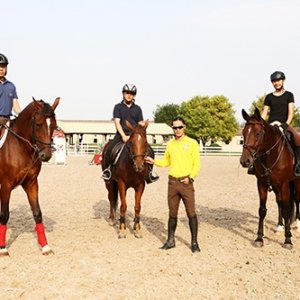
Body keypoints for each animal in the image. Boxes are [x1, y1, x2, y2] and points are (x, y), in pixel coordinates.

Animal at [0, 97, 59, 256]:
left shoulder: (31, 183)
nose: (46, 155)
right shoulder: (6, 186)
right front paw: (2, 248)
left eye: (54, 125)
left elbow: (37, 213)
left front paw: (45, 247)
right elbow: (4, 215)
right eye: (38, 124)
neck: (20, 146)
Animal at [239, 107, 300, 248]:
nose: (245, 161)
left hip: (296, 182)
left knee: (297, 199)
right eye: (243, 133)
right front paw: (259, 238)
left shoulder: (284, 184)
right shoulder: (262, 184)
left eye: (257, 133)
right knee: (280, 202)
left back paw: (297, 226)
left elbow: (287, 210)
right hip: (276, 186)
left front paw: (288, 240)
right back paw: (280, 226)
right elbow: (262, 210)